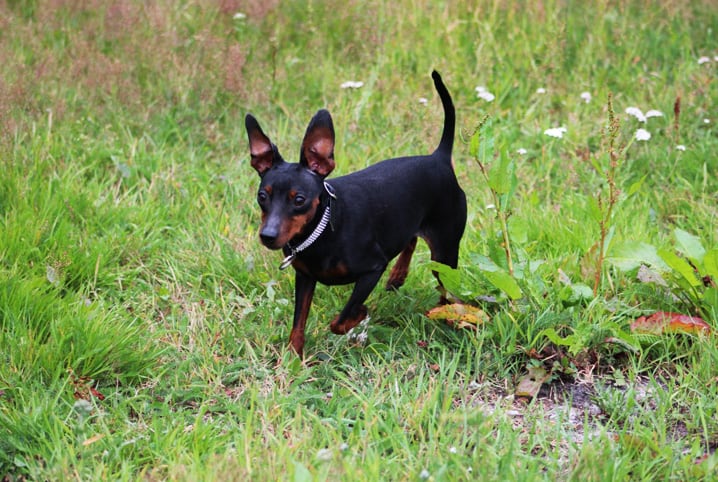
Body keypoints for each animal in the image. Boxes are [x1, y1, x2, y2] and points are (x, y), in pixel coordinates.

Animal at [246, 71, 466, 358]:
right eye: (263, 196)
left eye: (299, 200)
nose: (268, 236)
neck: (323, 232)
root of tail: (438, 158)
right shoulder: (305, 278)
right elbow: (298, 324)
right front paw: (293, 358)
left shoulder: (372, 269)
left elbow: (341, 319)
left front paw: (360, 313)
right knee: (410, 238)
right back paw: (398, 276)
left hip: (445, 252)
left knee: (445, 286)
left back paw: (444, 313)